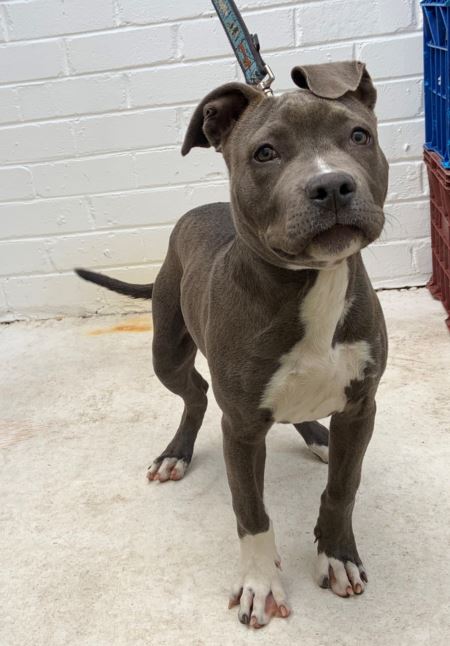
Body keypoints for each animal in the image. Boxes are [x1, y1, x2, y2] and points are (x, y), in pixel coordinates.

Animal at [76, 60, 389, 629]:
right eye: (264, 152)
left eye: (359, 136)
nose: (332, 184)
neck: (311, 285)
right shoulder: (240, 428)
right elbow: (252, 512)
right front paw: (260, 585)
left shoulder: (361, 407)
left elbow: (343, 487)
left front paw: (336, 555)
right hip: (167, 352)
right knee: (196, 393)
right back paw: (176, 454)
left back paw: (316, 435)